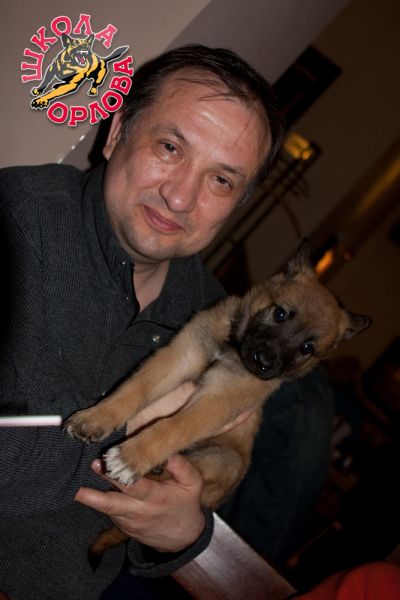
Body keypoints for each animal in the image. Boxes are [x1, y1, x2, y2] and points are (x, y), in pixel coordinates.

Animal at [66, 239, 371, 563]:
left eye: (307, 348)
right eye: (280, 314)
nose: (264, 363)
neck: (230, 349)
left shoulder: (219, 400)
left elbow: (174, 426)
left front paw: (132, 457)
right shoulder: (180, 356)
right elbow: (133, 389)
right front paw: (95, 418)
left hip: (224, 460)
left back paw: (154, 470)